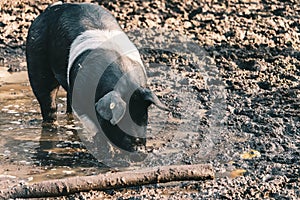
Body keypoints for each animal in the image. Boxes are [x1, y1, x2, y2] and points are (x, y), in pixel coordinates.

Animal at [25, 2, 169, 152]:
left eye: (143, 117)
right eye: (120, 121)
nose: (139, 149)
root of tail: (52, 7)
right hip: (36, 60)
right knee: (47, 100)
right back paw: (51, 126)